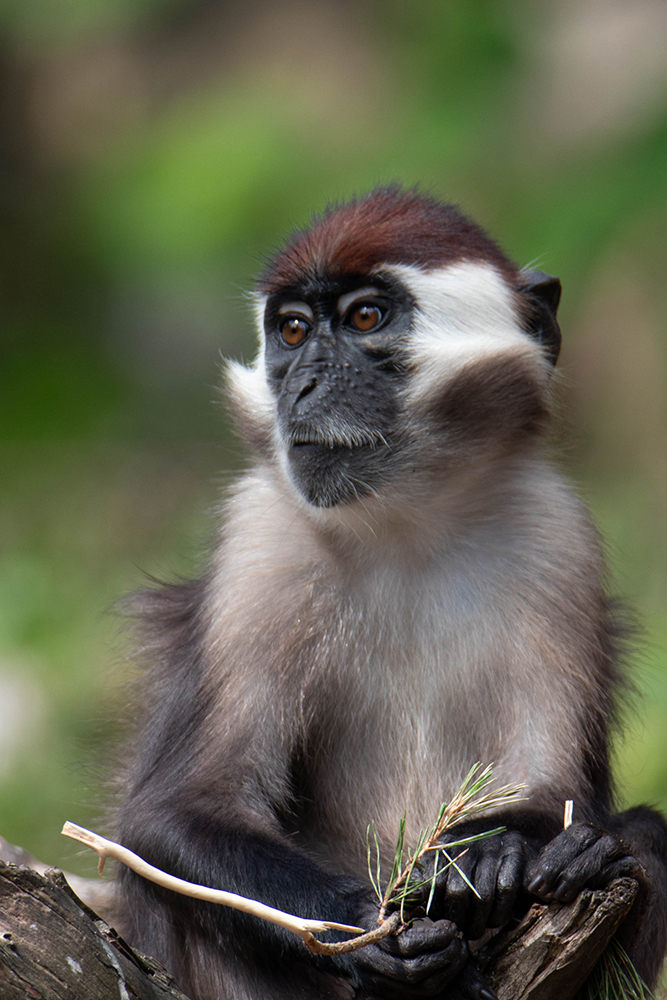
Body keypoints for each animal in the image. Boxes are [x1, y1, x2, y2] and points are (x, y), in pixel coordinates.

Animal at [115, 188, 667, 1000]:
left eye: (367, 318)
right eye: (291, 330)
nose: (304, 385)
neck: (404, 525)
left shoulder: (556, 534)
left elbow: (558, 785)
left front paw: (493, 851)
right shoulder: (260, 543)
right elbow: (172, 816)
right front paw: (371, 933)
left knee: (644, 838)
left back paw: (584, 859)